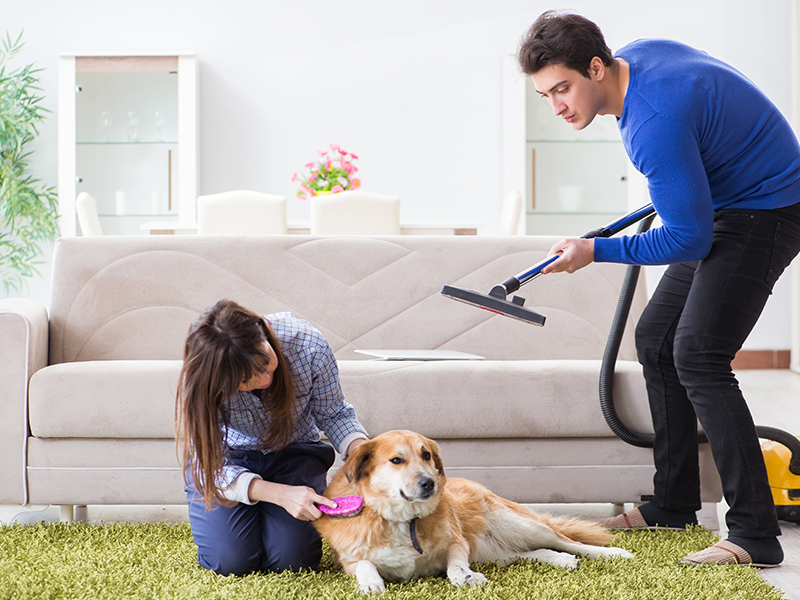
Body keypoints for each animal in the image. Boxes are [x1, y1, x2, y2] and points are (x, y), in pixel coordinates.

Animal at [316, 428, 636, 592]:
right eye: (396, 460)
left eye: (426, 455)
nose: (430, 483)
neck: (404, 520)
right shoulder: (348, 559)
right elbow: (366, 565)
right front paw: (371, 583)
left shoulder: (457, 542)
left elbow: (456, 565)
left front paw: (465, 577)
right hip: (493, 552)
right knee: (528, 553)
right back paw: (559, 559)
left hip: (518, 524)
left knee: (566, 540)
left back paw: (612, 553)